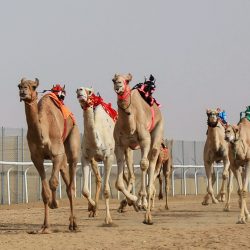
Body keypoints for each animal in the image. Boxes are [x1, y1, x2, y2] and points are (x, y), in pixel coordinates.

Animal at [18, 77, 79, 232]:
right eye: (19, 85)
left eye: (33, 86)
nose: (23, 92)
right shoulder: (36, 158)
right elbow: (44, 191)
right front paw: (45, 226)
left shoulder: (56, 154)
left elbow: (53, 182)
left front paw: (55, 204)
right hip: (62, 158)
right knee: (67, 180)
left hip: (73, 138)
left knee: (71, 185)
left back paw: (74, 224)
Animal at [76, 86, 136, 225]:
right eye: (78, 89)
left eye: (90, 91)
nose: (79, 90)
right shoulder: (86, 157)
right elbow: (85, 190)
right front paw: (93, 207)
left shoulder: (108, 157)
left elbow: (107, 190)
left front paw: (108, 219)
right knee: (123, 176)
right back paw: (127, 203)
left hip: (126, 149)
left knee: (131, 175)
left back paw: (133, 200)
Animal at [112, 73, 163, 225]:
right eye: (113, 79)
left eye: (127, 80)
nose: (118, 84)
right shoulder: (119, 145)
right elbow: (119, 182)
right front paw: (131, 200)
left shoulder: (145, 140)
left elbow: (144, 165)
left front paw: (141, 203)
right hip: (130, 148)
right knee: (133, 172)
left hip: (157, 135)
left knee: (150, 163)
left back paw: (145, 205)